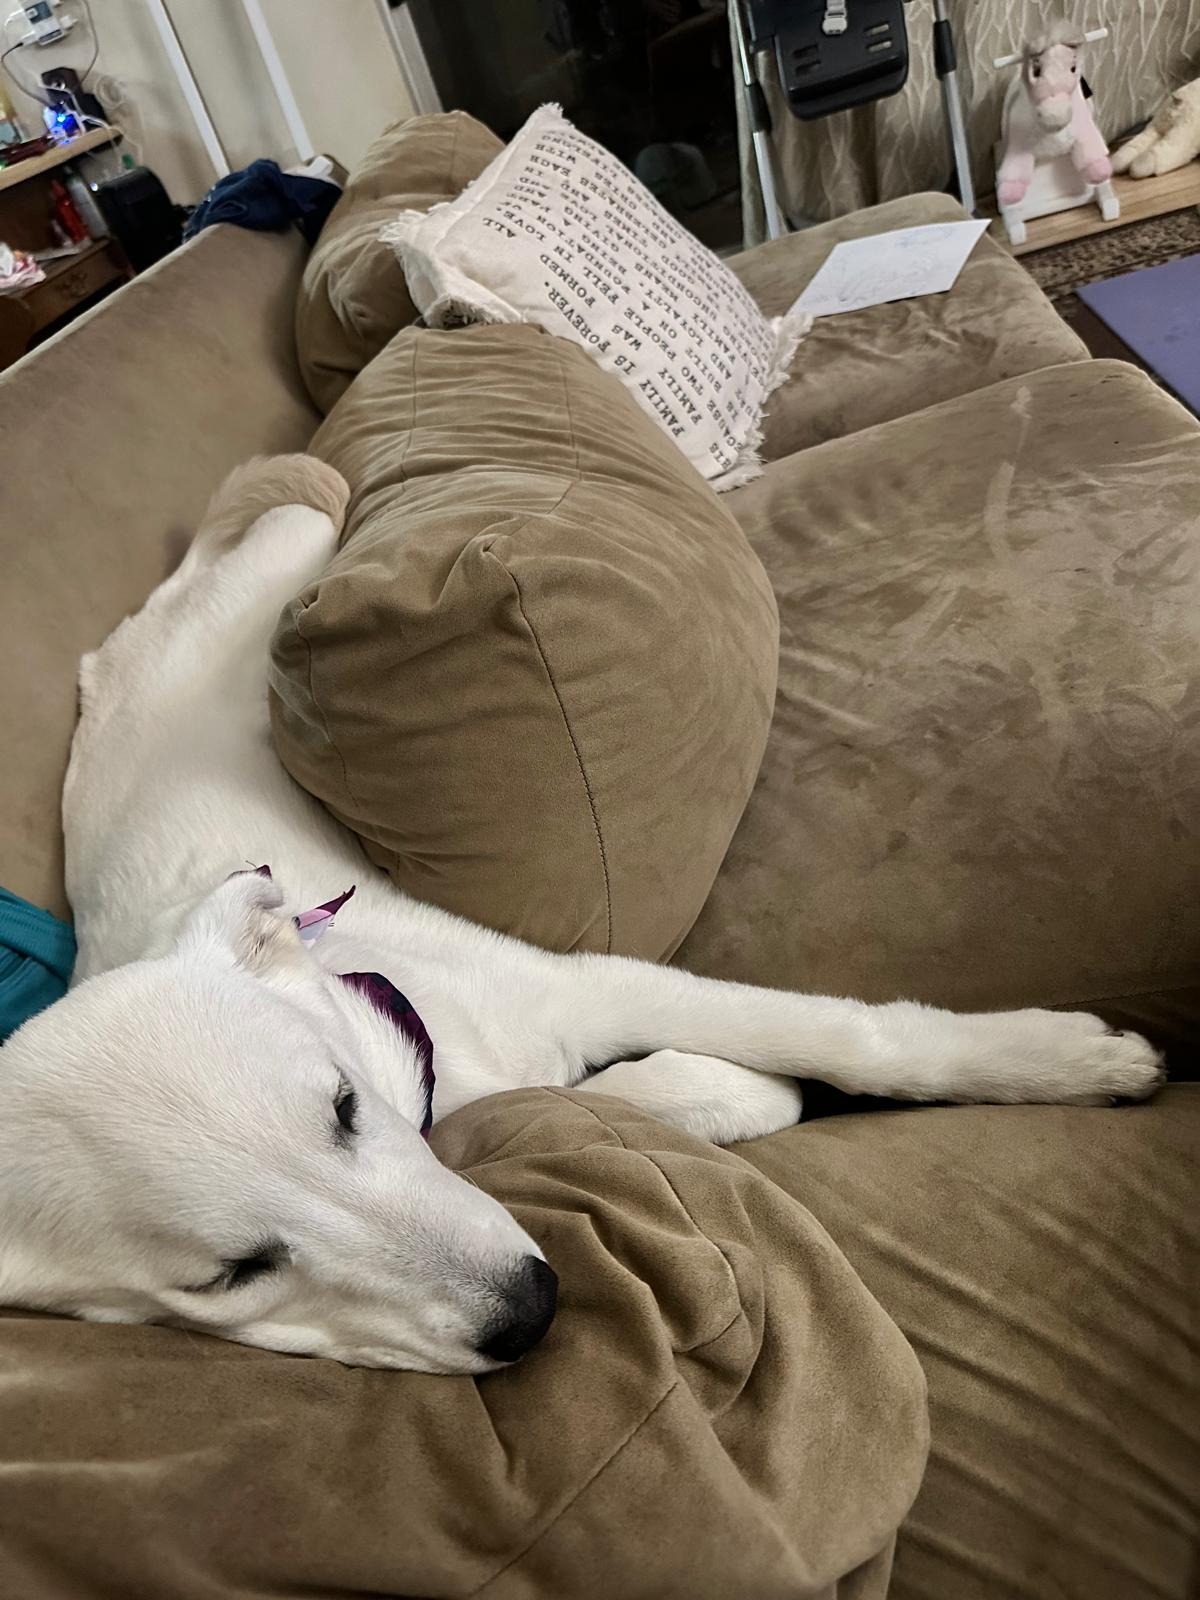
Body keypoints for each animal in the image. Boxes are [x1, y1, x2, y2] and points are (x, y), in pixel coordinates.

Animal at [0, 458, 1166, 1374]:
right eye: (229, 1276)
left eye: (341, 1108)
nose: (532, 1311)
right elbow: (646, 1098)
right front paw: (737, 1092)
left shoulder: (587, 983)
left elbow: (851, 1039)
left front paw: (1070, 1060)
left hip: (278, 557)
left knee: (267, 516)